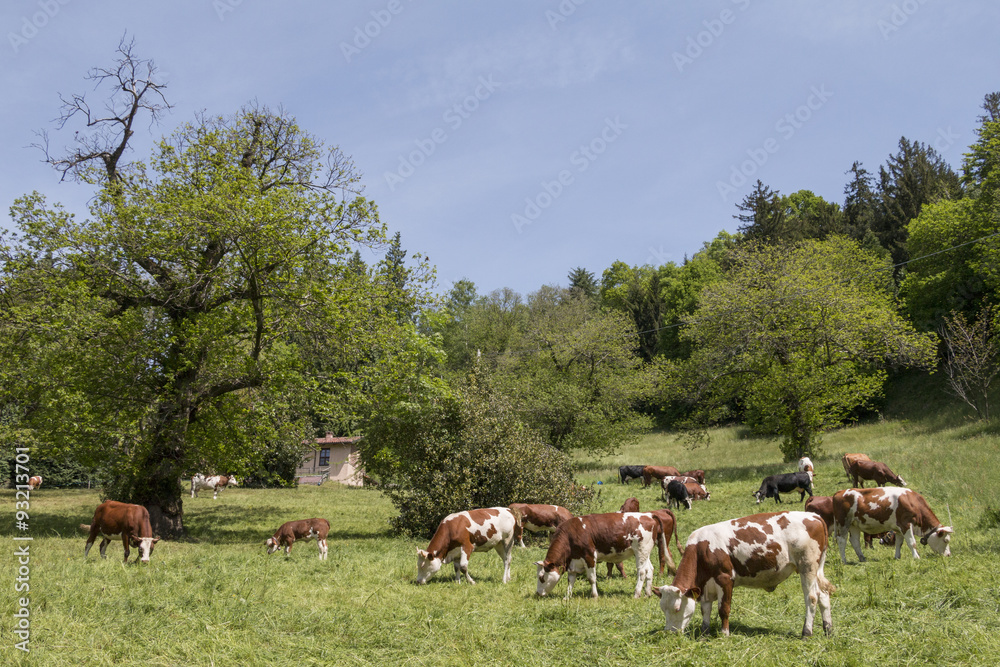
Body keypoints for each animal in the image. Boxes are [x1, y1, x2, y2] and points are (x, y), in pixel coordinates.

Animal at [536, 512, 668, 600]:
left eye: (541, 577)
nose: (537, 593)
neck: (571, 535)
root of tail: (648, 515)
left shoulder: (589, 556)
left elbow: (591, 578)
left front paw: (594, 596)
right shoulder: (573, 562)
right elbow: (571, 580)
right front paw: (567, 597)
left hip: (640, 551)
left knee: (641, 572)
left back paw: (637, 594)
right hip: (645, 553)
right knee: (649, 569)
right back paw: (647, 593)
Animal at [652, 516, 832, 640]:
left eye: (677, 608)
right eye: (662, 609)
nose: (669, 633)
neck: (702, 549)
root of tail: (814, 516)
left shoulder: (725, 579)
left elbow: (724, 609)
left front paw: (724, 634)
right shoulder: (704, 587)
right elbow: (705, 610)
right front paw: (704, 633)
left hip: (807, 567)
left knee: (812, 598)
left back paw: (806, 633)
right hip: (817, 570)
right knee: (823, 596)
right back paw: (828, 629)